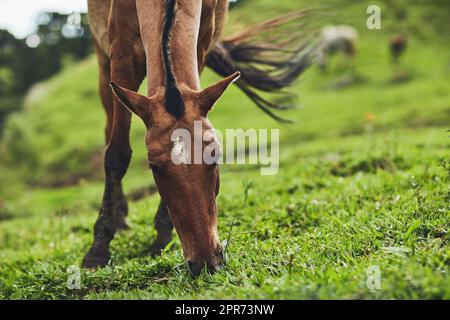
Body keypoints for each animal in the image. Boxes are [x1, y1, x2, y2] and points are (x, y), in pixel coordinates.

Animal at [84, 0, 314, 278]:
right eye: (154, 168)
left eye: (215, 158)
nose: (205, 261)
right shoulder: (122, 53)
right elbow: (117, 154)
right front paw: (98, 249)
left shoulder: (202, 44)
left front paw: (163, 237)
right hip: (102, 59)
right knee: (109, 131)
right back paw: (119, 217)